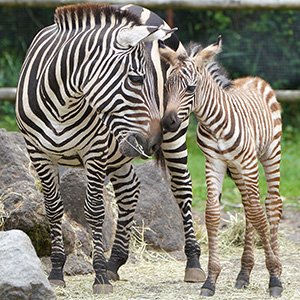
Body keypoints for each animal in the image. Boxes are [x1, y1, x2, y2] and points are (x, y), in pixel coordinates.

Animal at [15, 3, 204, 294]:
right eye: (136, 79)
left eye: (155, 80)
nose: (154, 142)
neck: (62, 104)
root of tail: (141, 9)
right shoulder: (38, 153)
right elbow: (53, 209)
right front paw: (57, 272)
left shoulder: (94, 151)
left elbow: (94, 211)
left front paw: (99, 276)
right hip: (122, 148)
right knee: (129, 189)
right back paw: (115, 261)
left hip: (174, 128)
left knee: (182, 187)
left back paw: (193, 263)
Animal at [159, 37, 284, 298]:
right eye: (166, 86)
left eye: (190, 88)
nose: (168, 123)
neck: (215, 123)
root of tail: (253, 79)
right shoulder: (214, 162)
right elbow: (213, 215)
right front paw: (210, 280)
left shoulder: (247, 162)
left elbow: (259, 215)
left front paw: (274, 277)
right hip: (236, 167)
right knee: (248, 206)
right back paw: (244, 273)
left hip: (269, 154)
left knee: (270, 205)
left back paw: (275, 265)